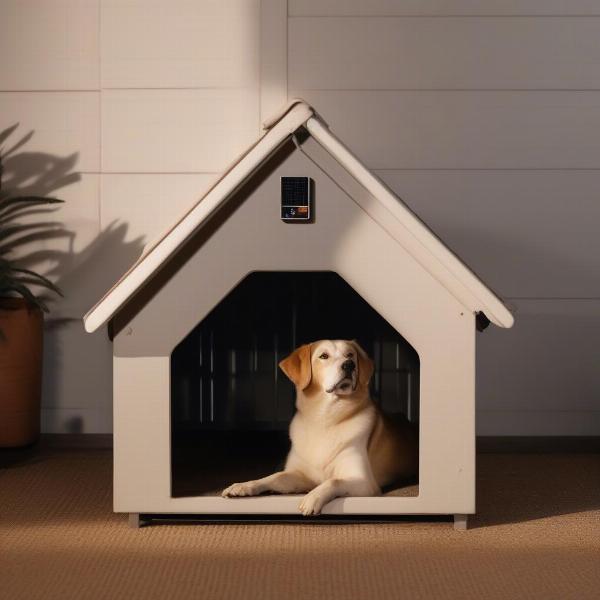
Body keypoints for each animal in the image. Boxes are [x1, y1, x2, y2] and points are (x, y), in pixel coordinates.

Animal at [220, 340, 418, 512]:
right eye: (324, 356)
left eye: (350, 355)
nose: (349, 365)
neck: (325, 419)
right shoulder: (300, 475)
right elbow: (273, 477)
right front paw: (244, 485)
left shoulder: (365, 482)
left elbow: (333, 481)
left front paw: (312, 498)